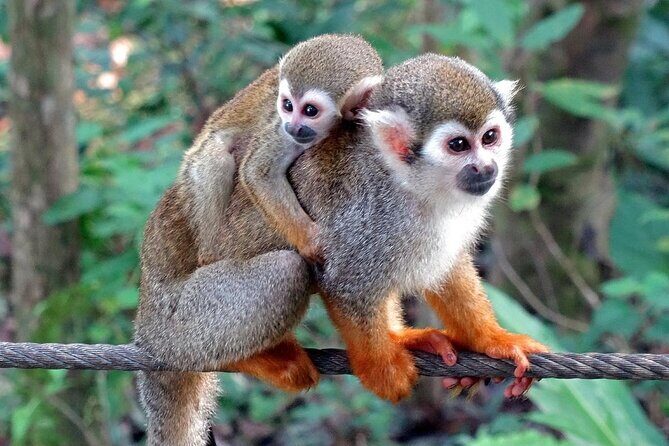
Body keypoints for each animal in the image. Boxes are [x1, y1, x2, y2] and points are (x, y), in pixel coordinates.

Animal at [182, 34, 383, 266]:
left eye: (310, 110)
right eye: (287, 105)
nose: (293, 127)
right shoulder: (280, 126)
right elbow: (258, 172)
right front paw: (309, 241)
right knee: (217, 160)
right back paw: (209, 255)